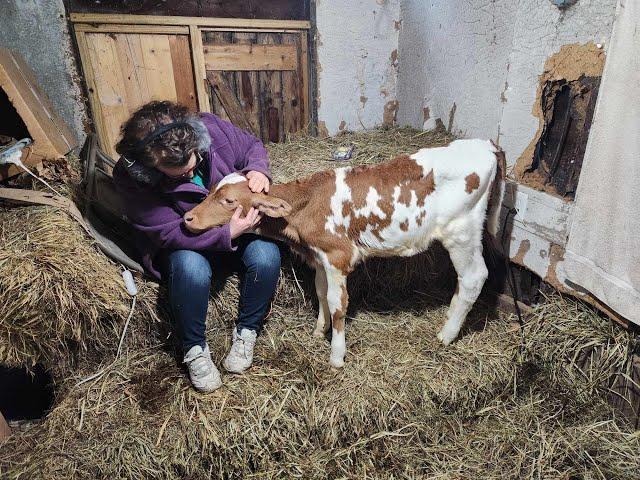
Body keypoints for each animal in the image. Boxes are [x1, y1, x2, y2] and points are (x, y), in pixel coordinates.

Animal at [184, 139, 504, 368]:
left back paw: (446, 335)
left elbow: (338, 303)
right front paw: (319, 331)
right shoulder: (319, 258)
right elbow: (321, 292)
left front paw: (336, 356)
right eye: (210, 190)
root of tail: (485, 144)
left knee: (474, 277)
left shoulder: (338, 256)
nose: (188, 218)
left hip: (461, 230)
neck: (307, 205)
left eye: (228, 201)